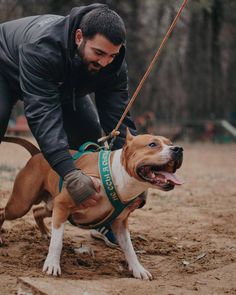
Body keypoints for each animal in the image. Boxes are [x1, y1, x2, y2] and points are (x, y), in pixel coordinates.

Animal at [0, 131, 183, 280]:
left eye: (171, 142)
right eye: (152, 144)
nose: (178, 149)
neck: (118, 176)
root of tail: (37, 154)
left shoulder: (120, 224)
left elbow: (129, 248)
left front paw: (138, 269)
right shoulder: (63, 204)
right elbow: (57, 242)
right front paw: (52, 264)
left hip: (51, 206)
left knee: (37, 211)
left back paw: (45, 233)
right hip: (22, 204)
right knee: (3, 211)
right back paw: (2, 238)